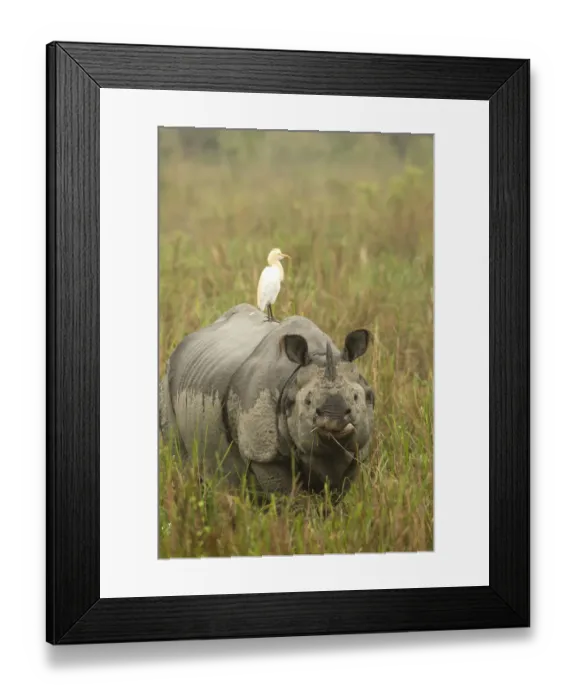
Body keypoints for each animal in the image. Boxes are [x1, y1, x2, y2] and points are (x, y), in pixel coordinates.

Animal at [159, 303, 375, 497]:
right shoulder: (262, 454)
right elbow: (287, 499)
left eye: (356, 397)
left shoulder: (357, 451)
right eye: (308, 402)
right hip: (167, 382)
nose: (333, 419)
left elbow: (335, 495)